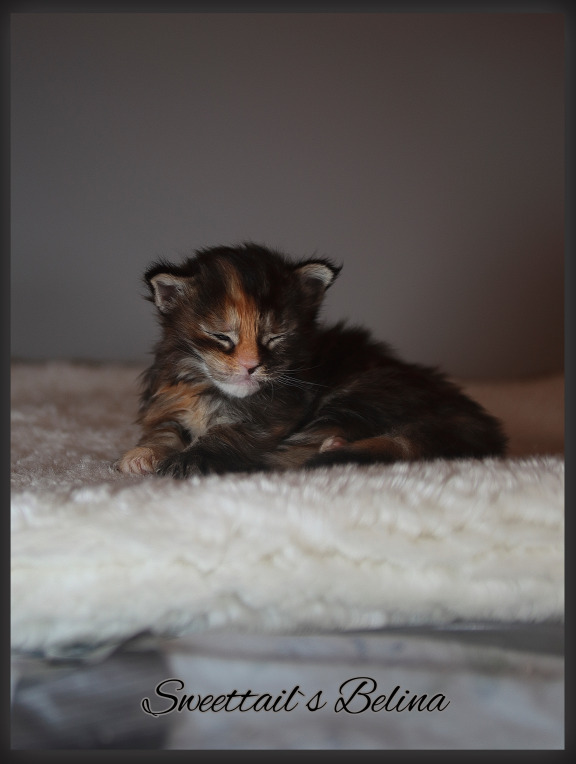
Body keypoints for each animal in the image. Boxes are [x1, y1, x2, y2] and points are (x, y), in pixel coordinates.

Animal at [117, 243, 507, 478]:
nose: (250, 366)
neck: (210, 390)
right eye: (221, 336)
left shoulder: (274, 414)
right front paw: (142, 453)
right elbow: (165, 429)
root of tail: (468, 418)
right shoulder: (170, 399)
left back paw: (330, 446)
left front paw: (187, 460)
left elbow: (226, 435)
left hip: (363, 391)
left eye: (275, 337)